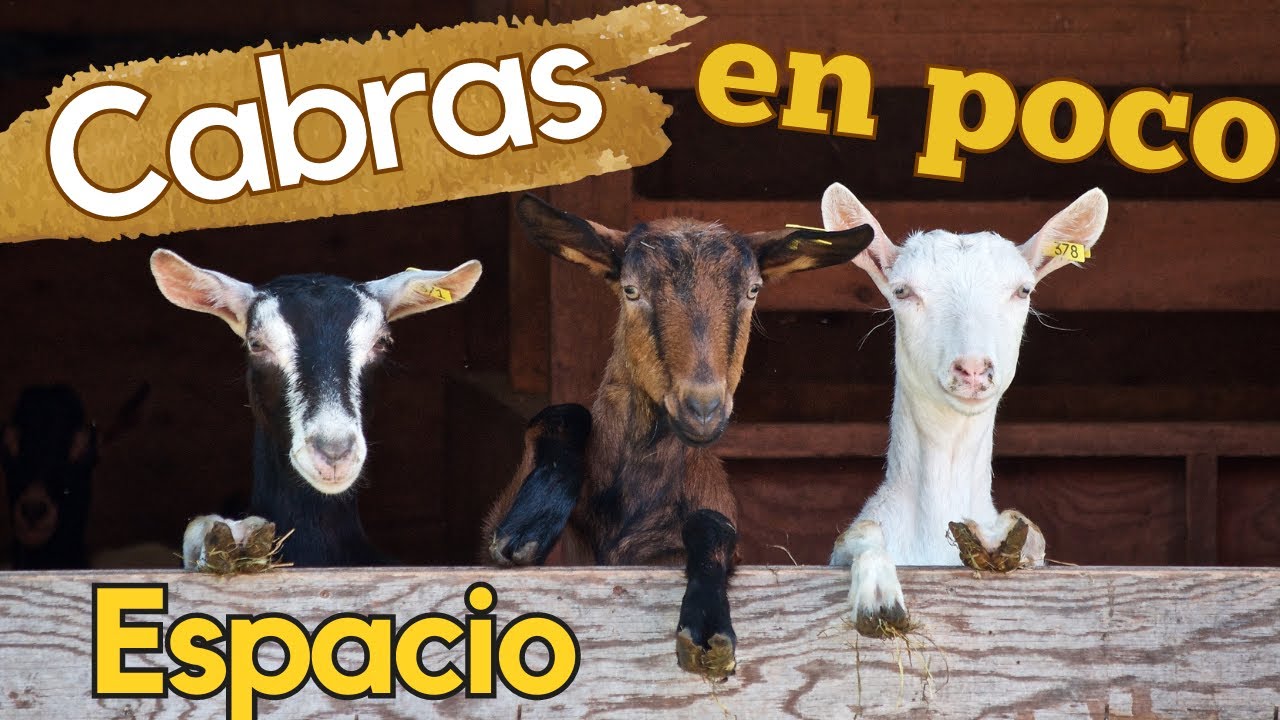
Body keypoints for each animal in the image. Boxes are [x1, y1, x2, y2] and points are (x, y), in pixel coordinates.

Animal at [484, 194, 874, 678]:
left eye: (753, 291)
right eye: (630, 290)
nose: (702, 409)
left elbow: (713, 525)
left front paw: (708, 628)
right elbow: (561, 415)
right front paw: (528, 527)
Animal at [822, 182, 1108, 636]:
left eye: (1023, 290)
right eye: (902, 291)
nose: (972, 368)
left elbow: (1032, 533)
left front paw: (997, 539)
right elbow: (860, 533)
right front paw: (879, 597)